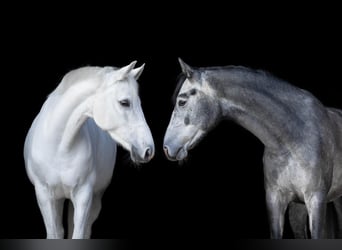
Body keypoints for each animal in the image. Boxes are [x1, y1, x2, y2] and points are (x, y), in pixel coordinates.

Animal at [22, 61, 154, 238]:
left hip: (95, 199)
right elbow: (54, 234)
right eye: (124, 102)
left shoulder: (84, 196)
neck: (59, 148)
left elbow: (78, 234)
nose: (148, 150)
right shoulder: (44, 195)